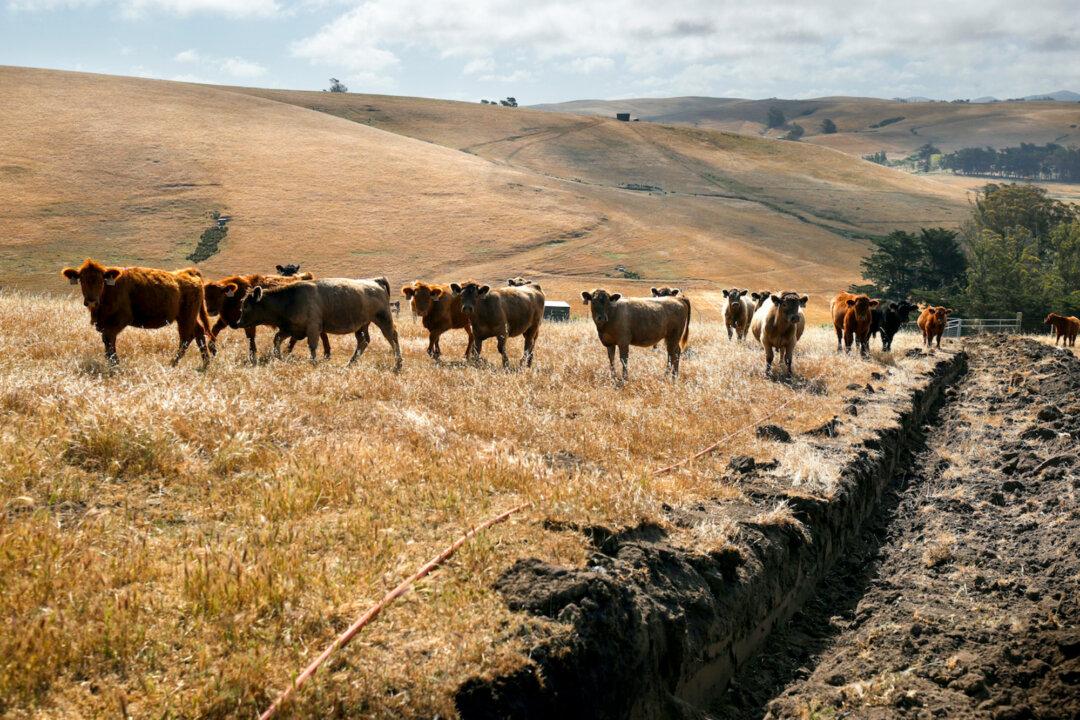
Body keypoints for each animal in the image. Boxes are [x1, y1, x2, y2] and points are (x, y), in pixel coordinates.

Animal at [61, 258, 211, 366]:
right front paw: (112, 363)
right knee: (198, 332)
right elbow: (107, 342)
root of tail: (187, 272)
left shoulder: (119, 320)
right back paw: (205, 362)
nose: (91, 300)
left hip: (186, 317)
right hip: (187, 317)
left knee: (186, 337)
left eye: (100, 281)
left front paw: (115, 363)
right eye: (82, 280)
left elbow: (109, 339)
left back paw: (173, 363)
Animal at [236, 278, 401, 369]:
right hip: (362, 326)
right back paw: (350, 363)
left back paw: (398, 364)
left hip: (383, 319)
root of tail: (375, 281)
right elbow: (277, 339)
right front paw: (279, 357)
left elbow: (312, 345)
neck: (289, 299)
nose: (238, 322)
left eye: (247, 305)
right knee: (363, 341)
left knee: (392, 337)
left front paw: (313, 362)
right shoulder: (290, 329)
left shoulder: (313, 328)